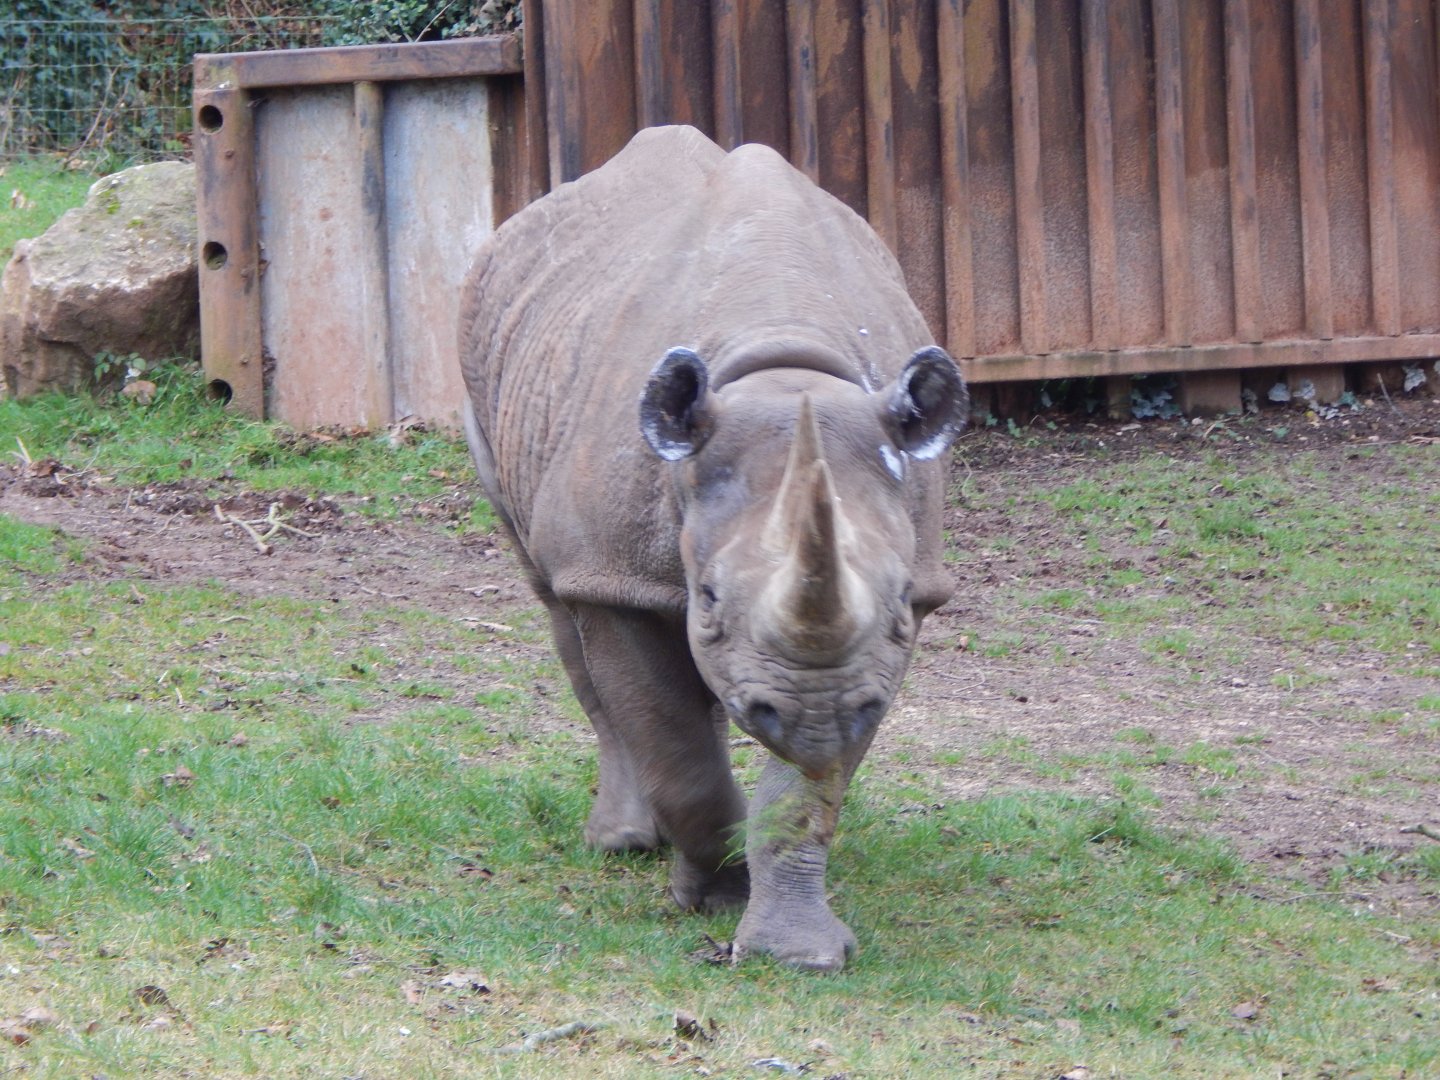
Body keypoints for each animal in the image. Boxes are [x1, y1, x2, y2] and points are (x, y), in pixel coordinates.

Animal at [457, 125, 966, 971]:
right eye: (710, 598)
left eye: (898, 601)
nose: (810, 713)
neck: (783, 369)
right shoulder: (614, 573)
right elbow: (676, 750)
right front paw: (714, 894)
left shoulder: (886, 627)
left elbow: (807, 792)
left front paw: (795, 950)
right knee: (555, 598)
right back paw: (624, 842)